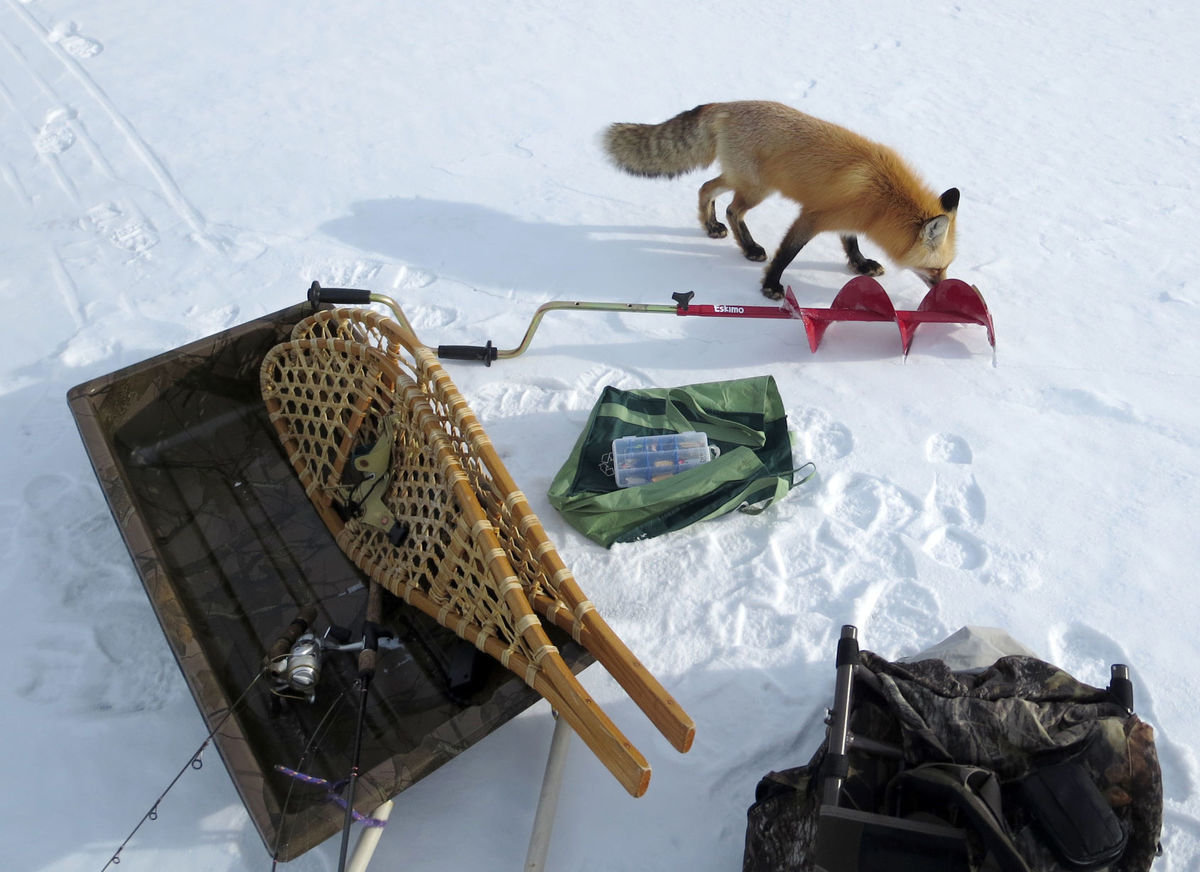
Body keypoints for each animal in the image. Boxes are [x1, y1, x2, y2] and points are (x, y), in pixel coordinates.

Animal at [604, 101, 960, 299]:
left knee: (706, 188)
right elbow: (787, 254)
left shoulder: (847, 219)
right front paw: (771, 286)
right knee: (732, 209)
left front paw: (860, 264)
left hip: (742, 180)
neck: (882, 196)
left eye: (947, 268)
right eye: (938, 268)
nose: (945, 288)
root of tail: (726, 104)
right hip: (756, 189)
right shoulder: (812, 217)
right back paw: (748, 247)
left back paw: (711, 226)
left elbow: (851, 243)